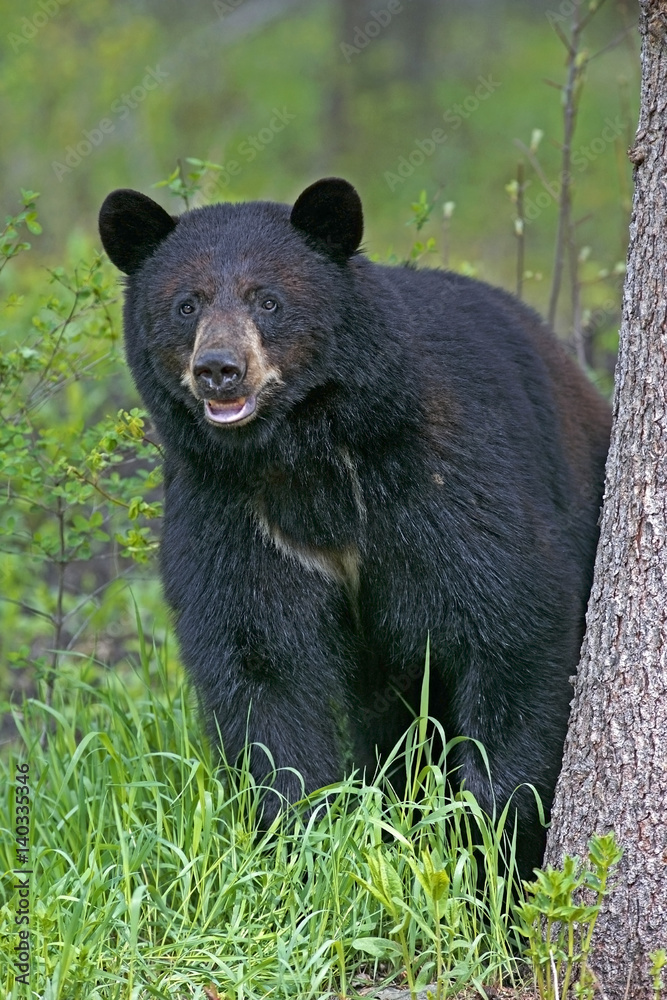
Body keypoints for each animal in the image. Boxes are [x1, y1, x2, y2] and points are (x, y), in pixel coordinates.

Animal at [98, 178, 612, 876]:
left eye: (269, 299)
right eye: (186, 304)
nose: (219, 368)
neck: (306, 454)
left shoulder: (445, 473)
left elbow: (511, 622)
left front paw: (493, 850)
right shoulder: (231, 511)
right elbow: (261, 665)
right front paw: (298, 843)